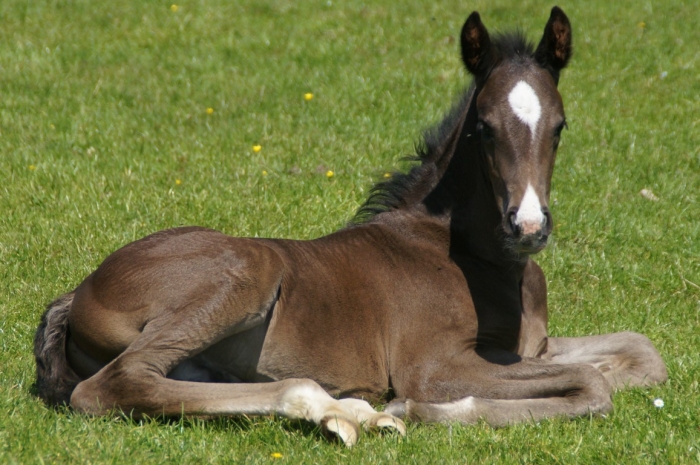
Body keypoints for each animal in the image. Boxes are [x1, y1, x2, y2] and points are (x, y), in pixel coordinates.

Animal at [34, 6, 668, 442]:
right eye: (484, 127)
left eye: (560, 126)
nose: (529, 226)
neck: (474, 258)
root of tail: (78, 290)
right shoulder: (435, 364)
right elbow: (593, 384)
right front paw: (425, 410)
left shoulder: (533, 350)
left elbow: (642, 354)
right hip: (249, 269)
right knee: (118, 384)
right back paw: (340, 408)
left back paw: (342, 412)